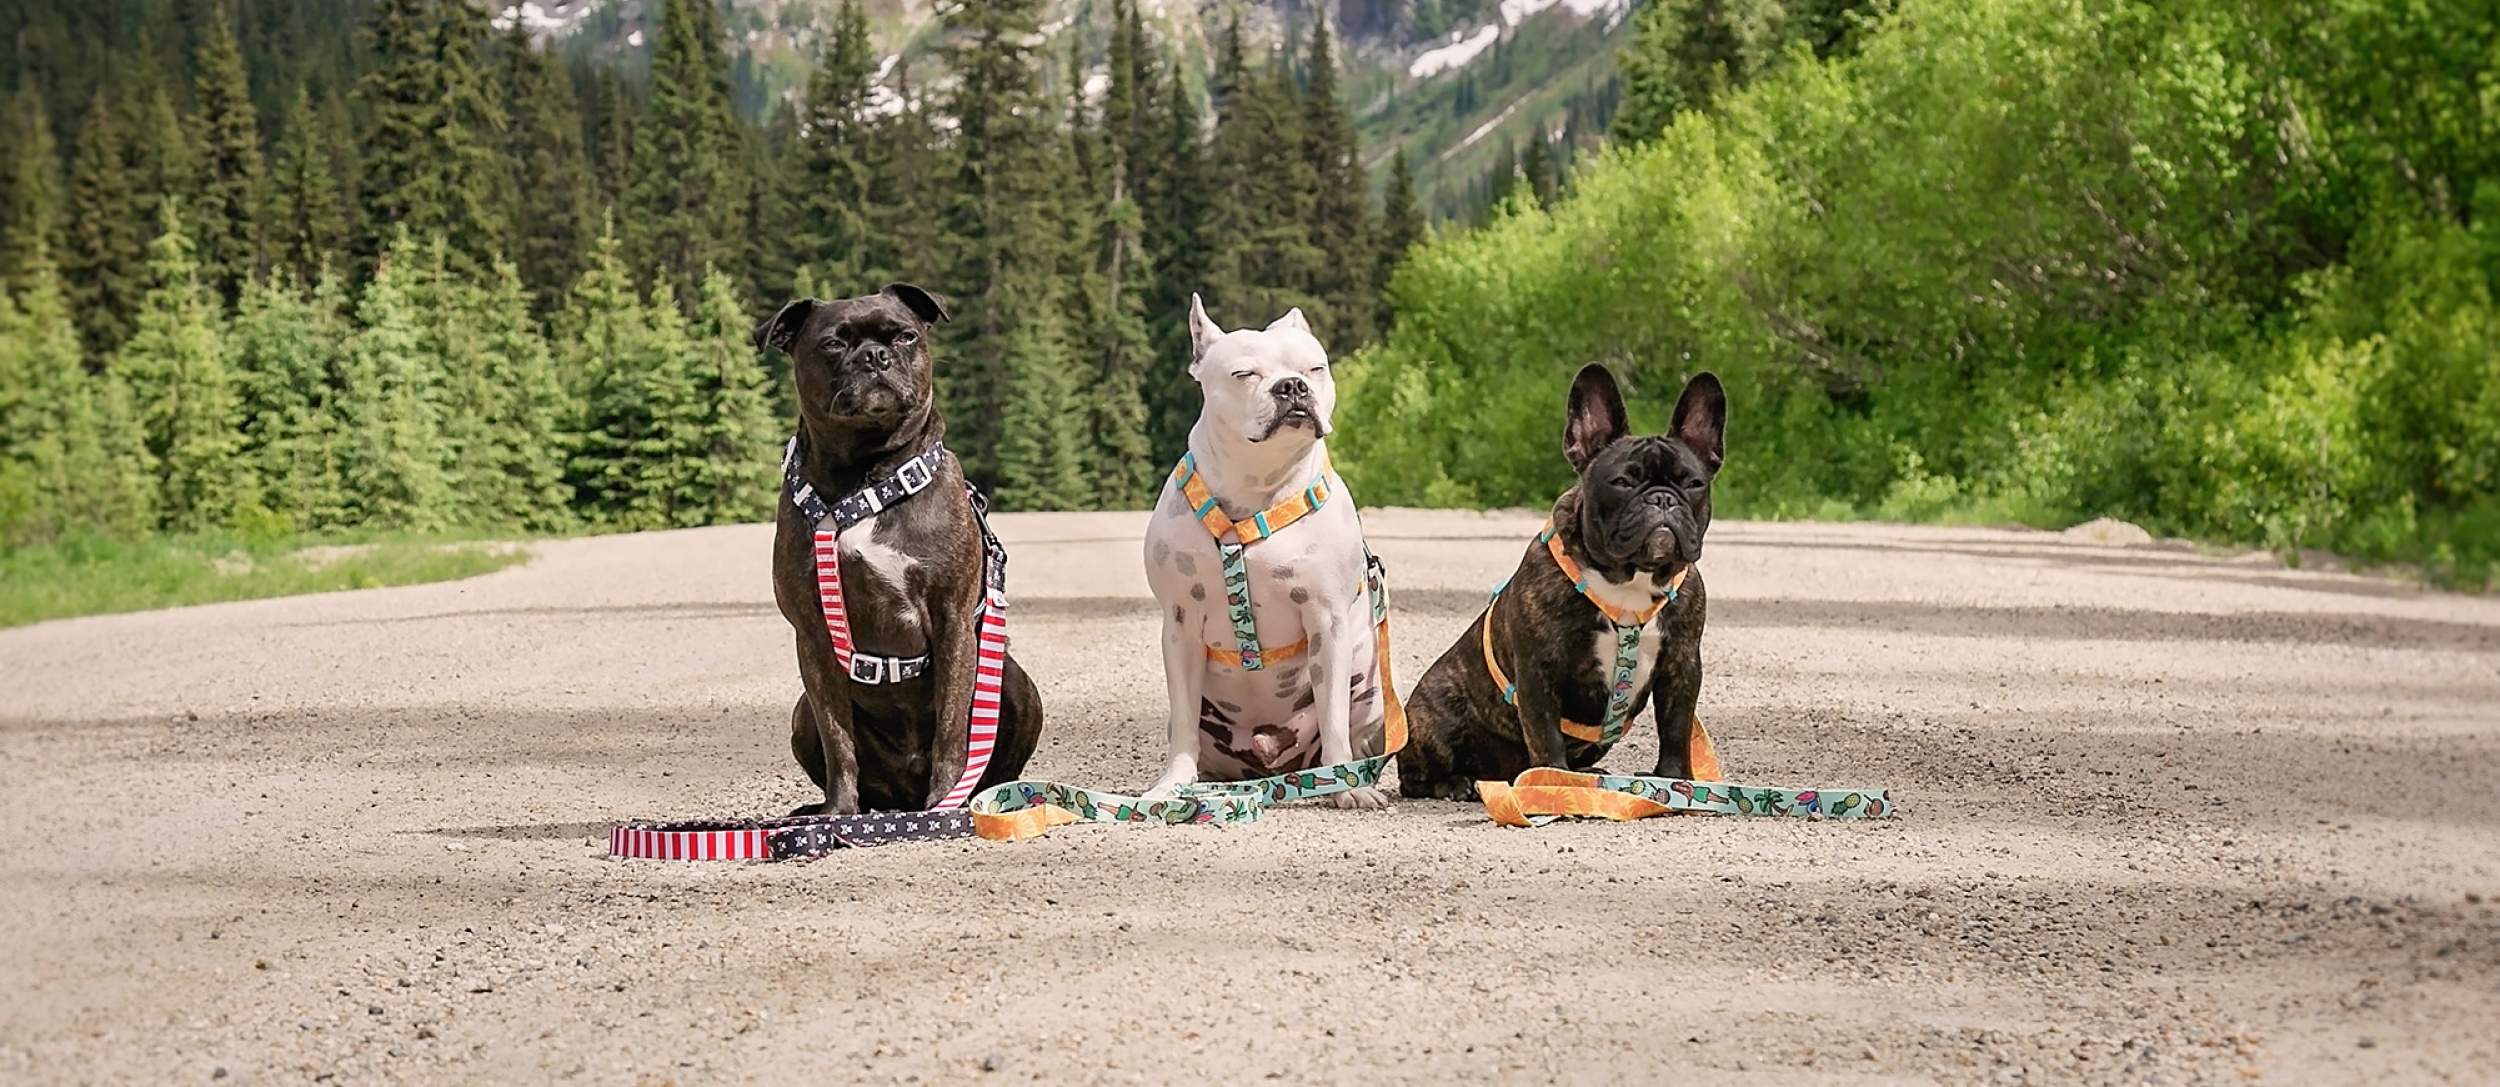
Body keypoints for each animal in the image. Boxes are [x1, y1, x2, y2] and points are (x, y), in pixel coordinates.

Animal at [1145, 296, 1400, 809]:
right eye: (1244, 373)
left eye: (1315, 368)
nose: (1292, 386)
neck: (1257, 489)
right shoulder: (1180, 626)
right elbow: (1182, 724)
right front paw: (1171, 784)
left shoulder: (1327, 622)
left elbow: (1333, 716)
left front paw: (1349, 788)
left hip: (1369, 695)